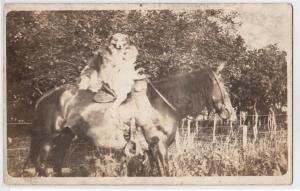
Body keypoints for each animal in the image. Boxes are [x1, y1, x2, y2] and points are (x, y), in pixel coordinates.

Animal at [24, 63, 234, 176]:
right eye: (223, 85)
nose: (230, 113)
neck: (161, 104)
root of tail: (45, 97)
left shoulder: (151, 150)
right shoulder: (159, 146)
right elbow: (164, 172)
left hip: (65, 138)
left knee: (57, 166)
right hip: (47, 139)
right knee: (41, 165)